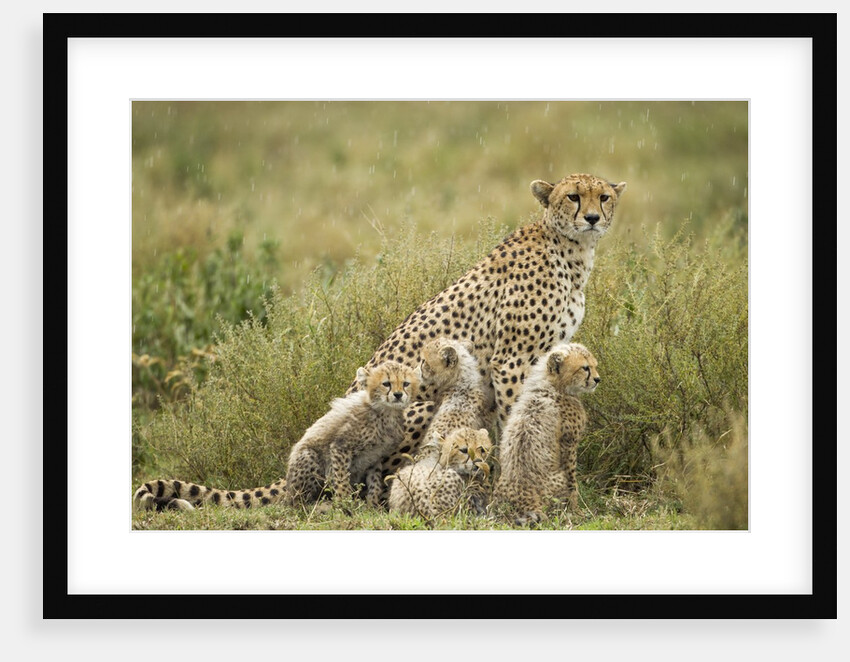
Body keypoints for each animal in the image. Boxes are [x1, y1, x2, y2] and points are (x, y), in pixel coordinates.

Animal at [133, 361, 420, 512]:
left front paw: (372, 507)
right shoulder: (340, 447)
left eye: (405, 383)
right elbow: (339, 479)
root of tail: (287, 482)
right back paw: (316, 505)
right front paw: (344, 504)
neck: (384, 413)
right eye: (386, 383)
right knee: (297, 502)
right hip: (308, 458)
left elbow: (374, 482)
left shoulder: (375, 458)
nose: (398, 394)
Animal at [347, 173, 626, 472]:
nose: (592, 218)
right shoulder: (511, 360)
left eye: (603, 197)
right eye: (573, 196)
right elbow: (514, 413)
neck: (571, 251)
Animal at [491, 342, 600, 526]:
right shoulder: (569, 444)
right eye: (585, 368)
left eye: (594, 366)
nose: (598, 380)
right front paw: (576, 511)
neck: (553, 385)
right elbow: (573, 482)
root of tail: (524, 494)